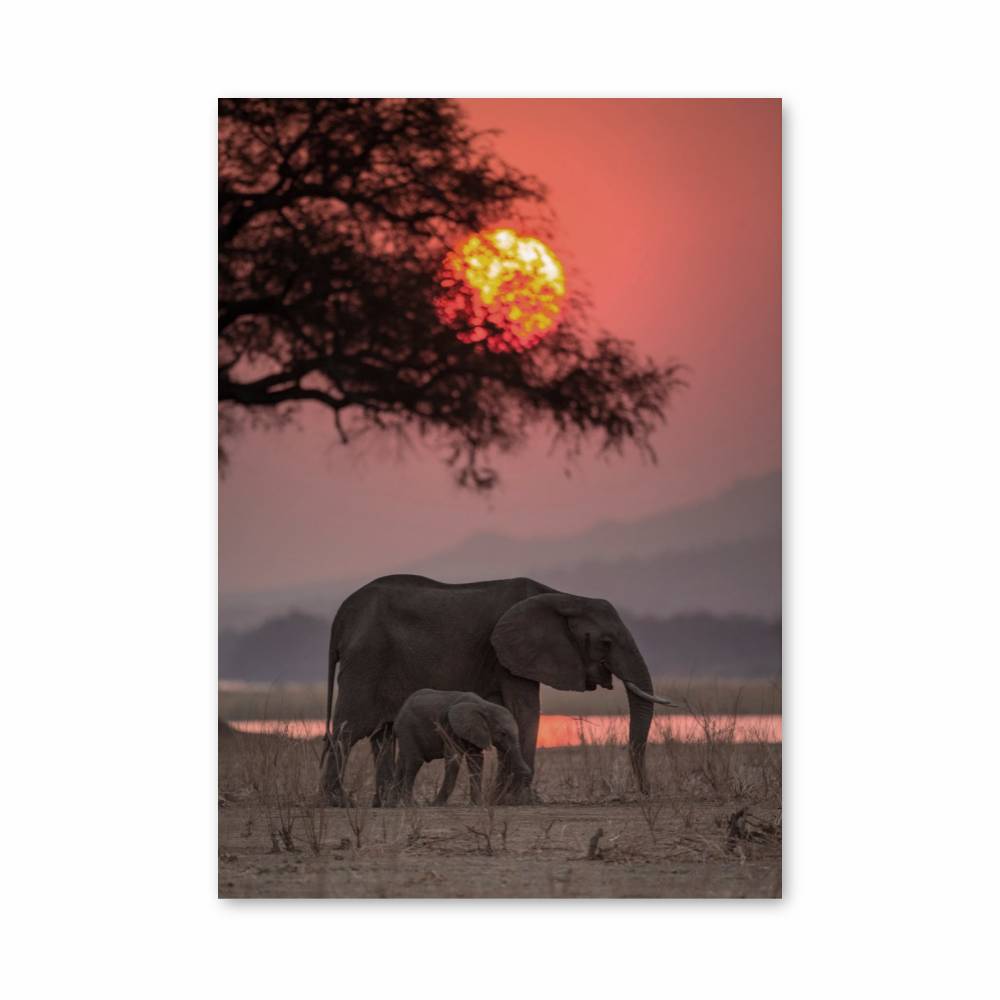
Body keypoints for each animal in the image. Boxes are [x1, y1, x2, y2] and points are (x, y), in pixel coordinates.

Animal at [392, 689, 532, 805]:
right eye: (503, 733)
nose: (528, 773)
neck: (484, 706)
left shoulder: (473, 731)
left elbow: (476, 760)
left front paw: (477, 804)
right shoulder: (450, 727)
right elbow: (454, 758)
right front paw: (436, 805)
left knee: (402, 762)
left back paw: (394, 804)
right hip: (407, 729)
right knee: (414, 761)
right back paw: (411, 804)